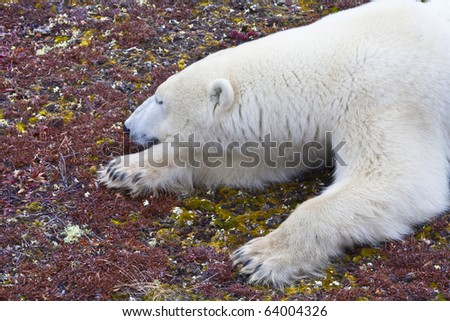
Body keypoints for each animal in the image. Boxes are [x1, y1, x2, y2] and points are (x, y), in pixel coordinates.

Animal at [101, 1, 450, 286]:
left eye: (160, 100)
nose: (128, 126)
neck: (335, 60)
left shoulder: (383, 98)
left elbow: (396, 178)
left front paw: (259, 256)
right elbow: (258, 160)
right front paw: (126, 169)